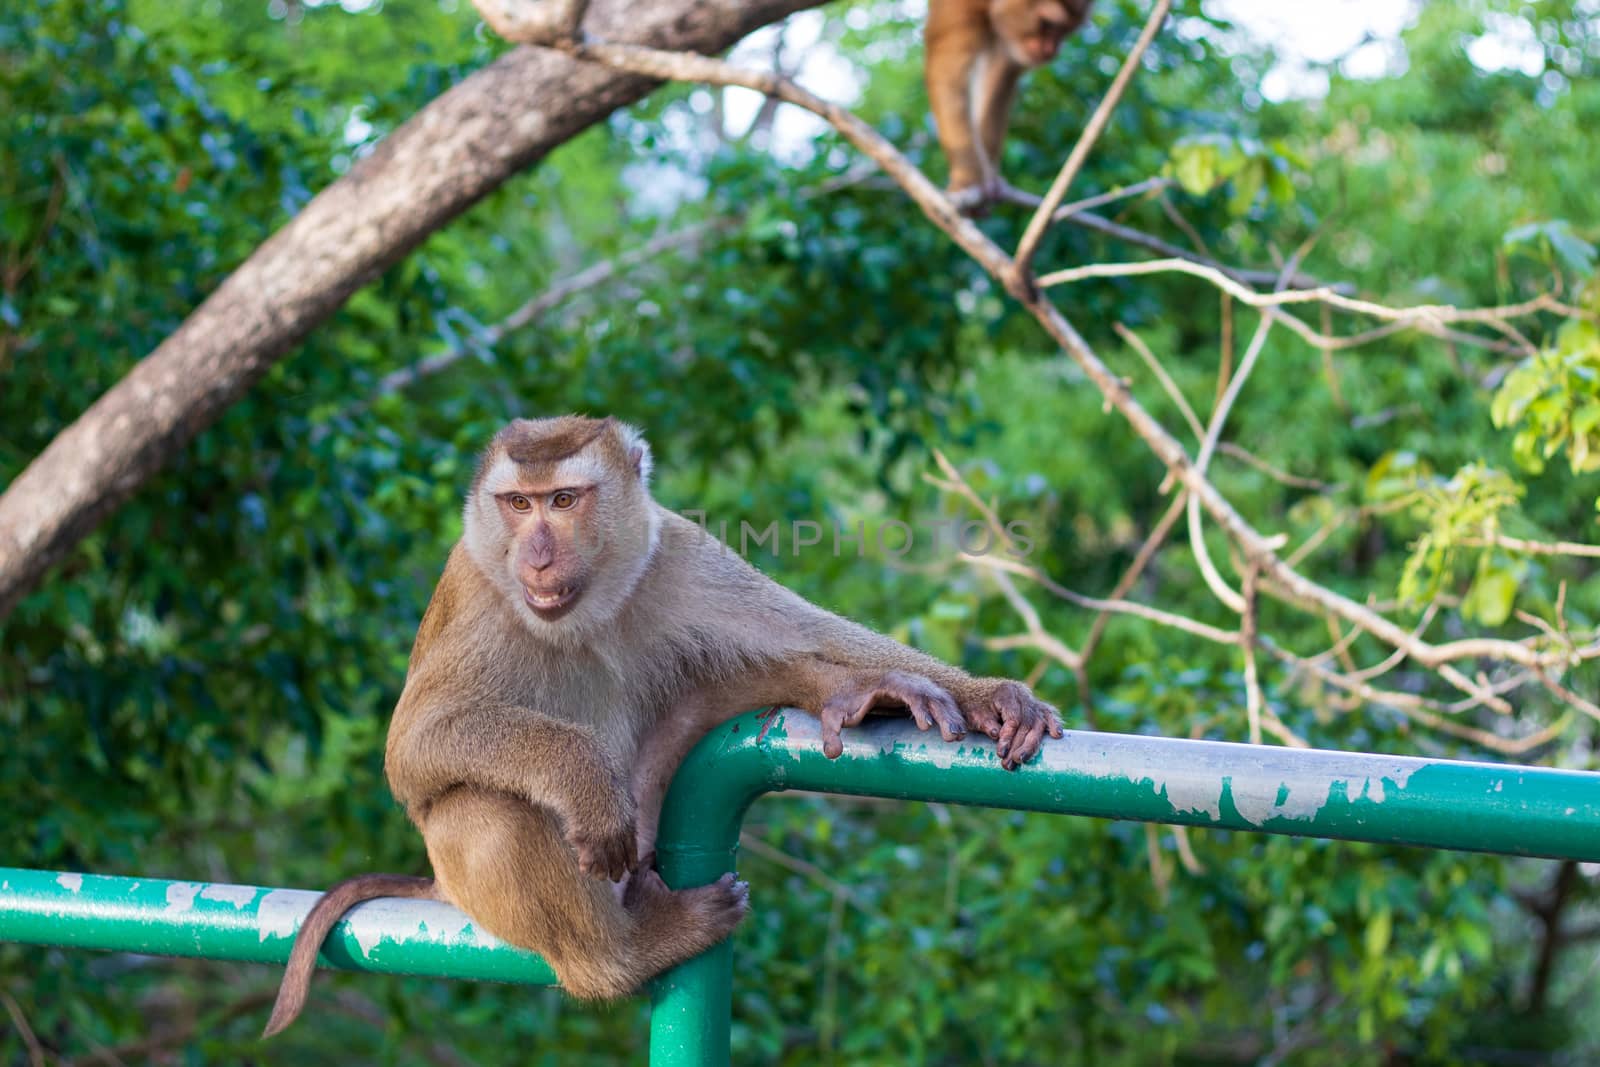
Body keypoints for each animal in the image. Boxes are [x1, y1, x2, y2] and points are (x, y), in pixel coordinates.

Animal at [262, 415, 1062, 1036]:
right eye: (517, 503)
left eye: (563, 499)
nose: (537, 554)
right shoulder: (479, 588)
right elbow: (415, 749)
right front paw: (581, 778)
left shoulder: (677, 552)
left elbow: (804, 628)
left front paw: (980, 695)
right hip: (487, 880)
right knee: (483, 808)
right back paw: (622, 956)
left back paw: (843, 692)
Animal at [928, 0, 1100, 214]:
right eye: (1048, 24)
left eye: (1066, 31)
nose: (1051, 51)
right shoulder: (959, 7)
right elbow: (947, 72)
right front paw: (968, 179)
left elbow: (1003, 69)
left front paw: (989, 173)